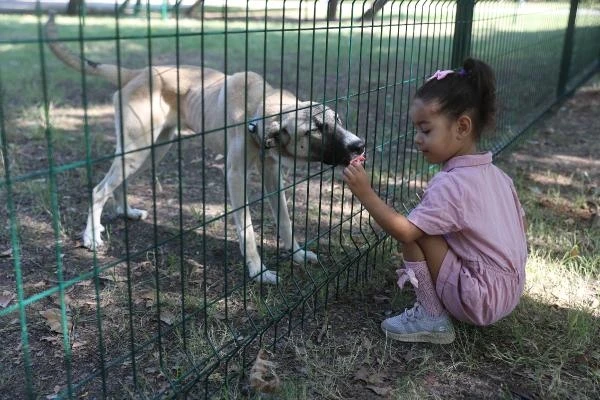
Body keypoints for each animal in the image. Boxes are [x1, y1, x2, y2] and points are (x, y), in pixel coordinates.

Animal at [44, 15, 364, 282]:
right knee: (99, 189)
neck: (258, 110)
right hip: (137, 150)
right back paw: (91, 237)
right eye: (315, 129)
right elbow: (247, 229)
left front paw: (297, 254)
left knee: (117, 184)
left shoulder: (273, 175)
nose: (359, 145)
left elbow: (285, 220)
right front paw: (258, 271)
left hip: (153, 150)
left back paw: (126, 212)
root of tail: (138, 73)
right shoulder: (235, 177)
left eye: (338, 120)